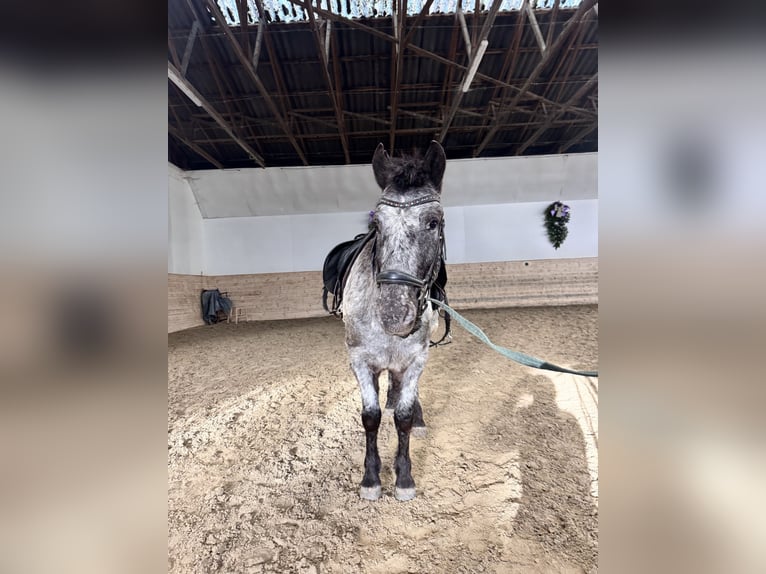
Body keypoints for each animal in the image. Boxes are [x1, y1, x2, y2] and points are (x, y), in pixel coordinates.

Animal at [340, 142, 448, 502]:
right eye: (377, 225)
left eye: (433, 222)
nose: (393, 313)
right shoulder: (360, 360)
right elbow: (371, 417)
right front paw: (371, 478)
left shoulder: (416, 359)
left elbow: (402, 416)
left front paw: (403, 478)